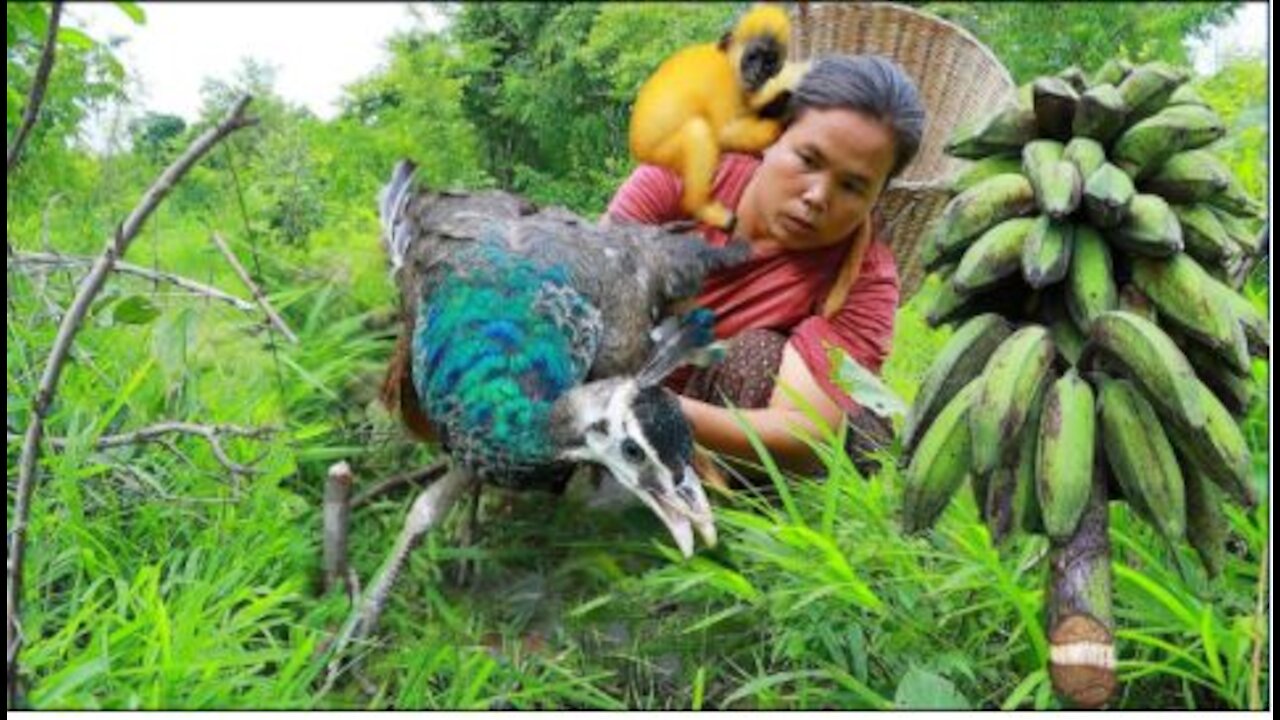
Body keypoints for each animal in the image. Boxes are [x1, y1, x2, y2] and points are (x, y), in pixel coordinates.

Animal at [629, 2, 808, 230]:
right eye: (753, 56)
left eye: (769, 63)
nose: (758, 73)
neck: (729, 63)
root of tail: (636, 148)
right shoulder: (723, 81)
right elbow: (723, 132)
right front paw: (784, 115)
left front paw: (780, 102)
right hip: (659, 154)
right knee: (698, 132)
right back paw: (701, 208)